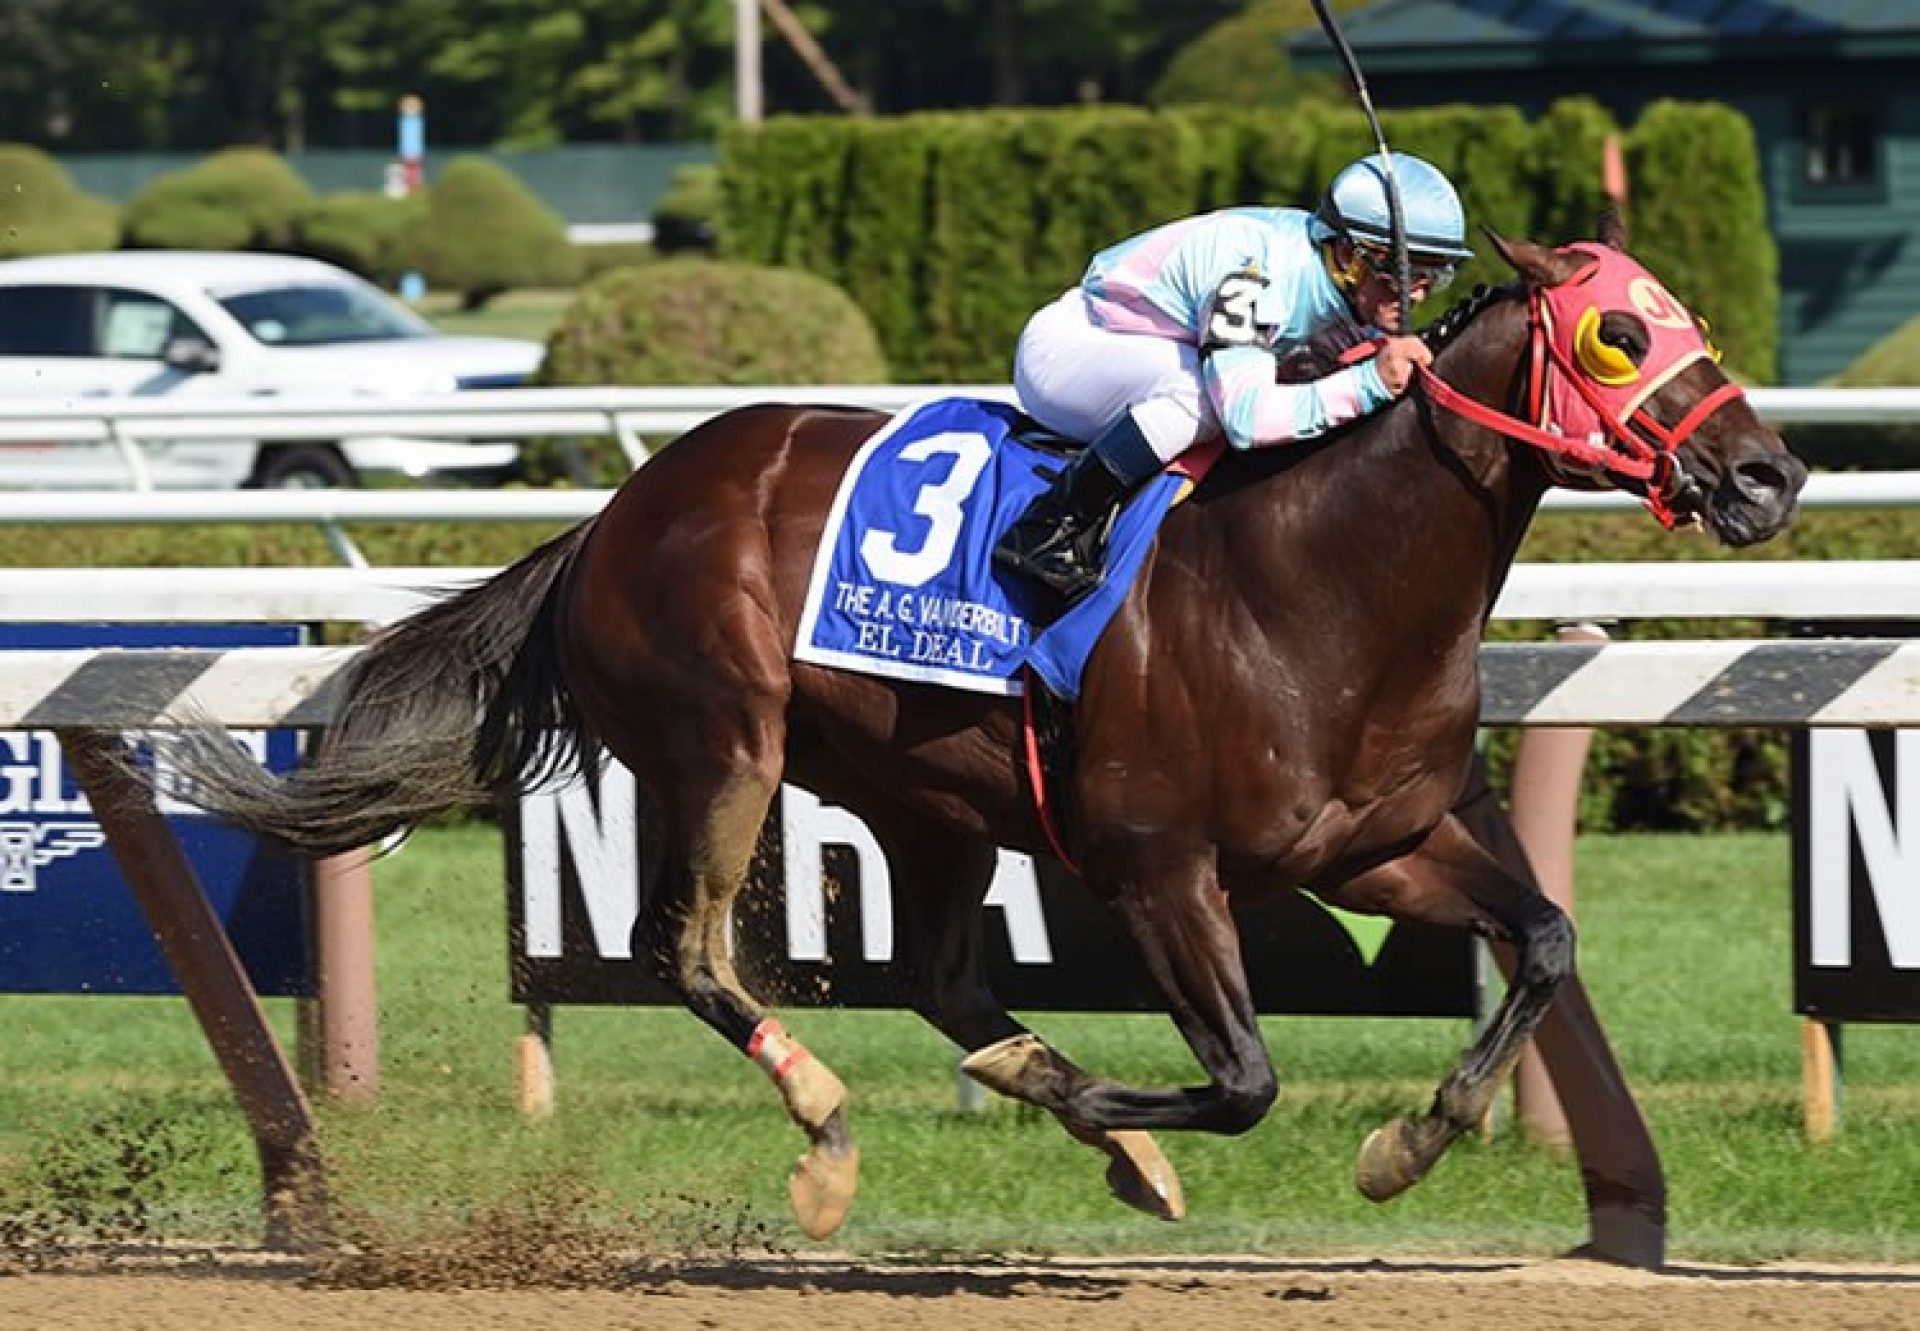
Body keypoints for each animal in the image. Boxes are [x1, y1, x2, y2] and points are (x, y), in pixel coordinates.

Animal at [157, 225, 1804, 1236]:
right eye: (1616, 331)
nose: (1771, 474)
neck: (1317, 581)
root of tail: (618, 508)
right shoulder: (1157, 867)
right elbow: (1244, 1077)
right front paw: (1114, 1106)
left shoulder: (1377, 848)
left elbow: (1544, 940)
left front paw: (1405, 1138)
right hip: (725, 744)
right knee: (687, 951)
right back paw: (836, 1125)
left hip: (924, 795)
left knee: (942, 976)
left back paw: (1067, 1117)